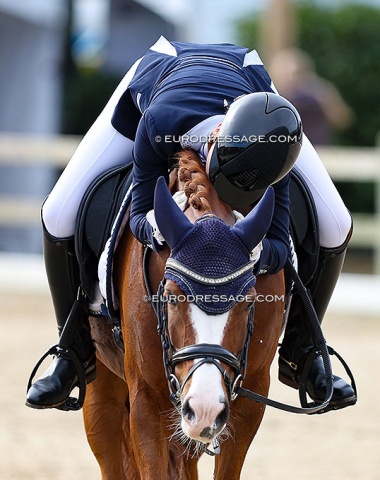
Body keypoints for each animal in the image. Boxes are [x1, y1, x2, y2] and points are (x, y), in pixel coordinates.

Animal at [84, 153, 284, 480]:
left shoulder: (251, 395)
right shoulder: (146, 399)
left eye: (247, 302)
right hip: (103, 396)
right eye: (172, 297)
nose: (204, 409)